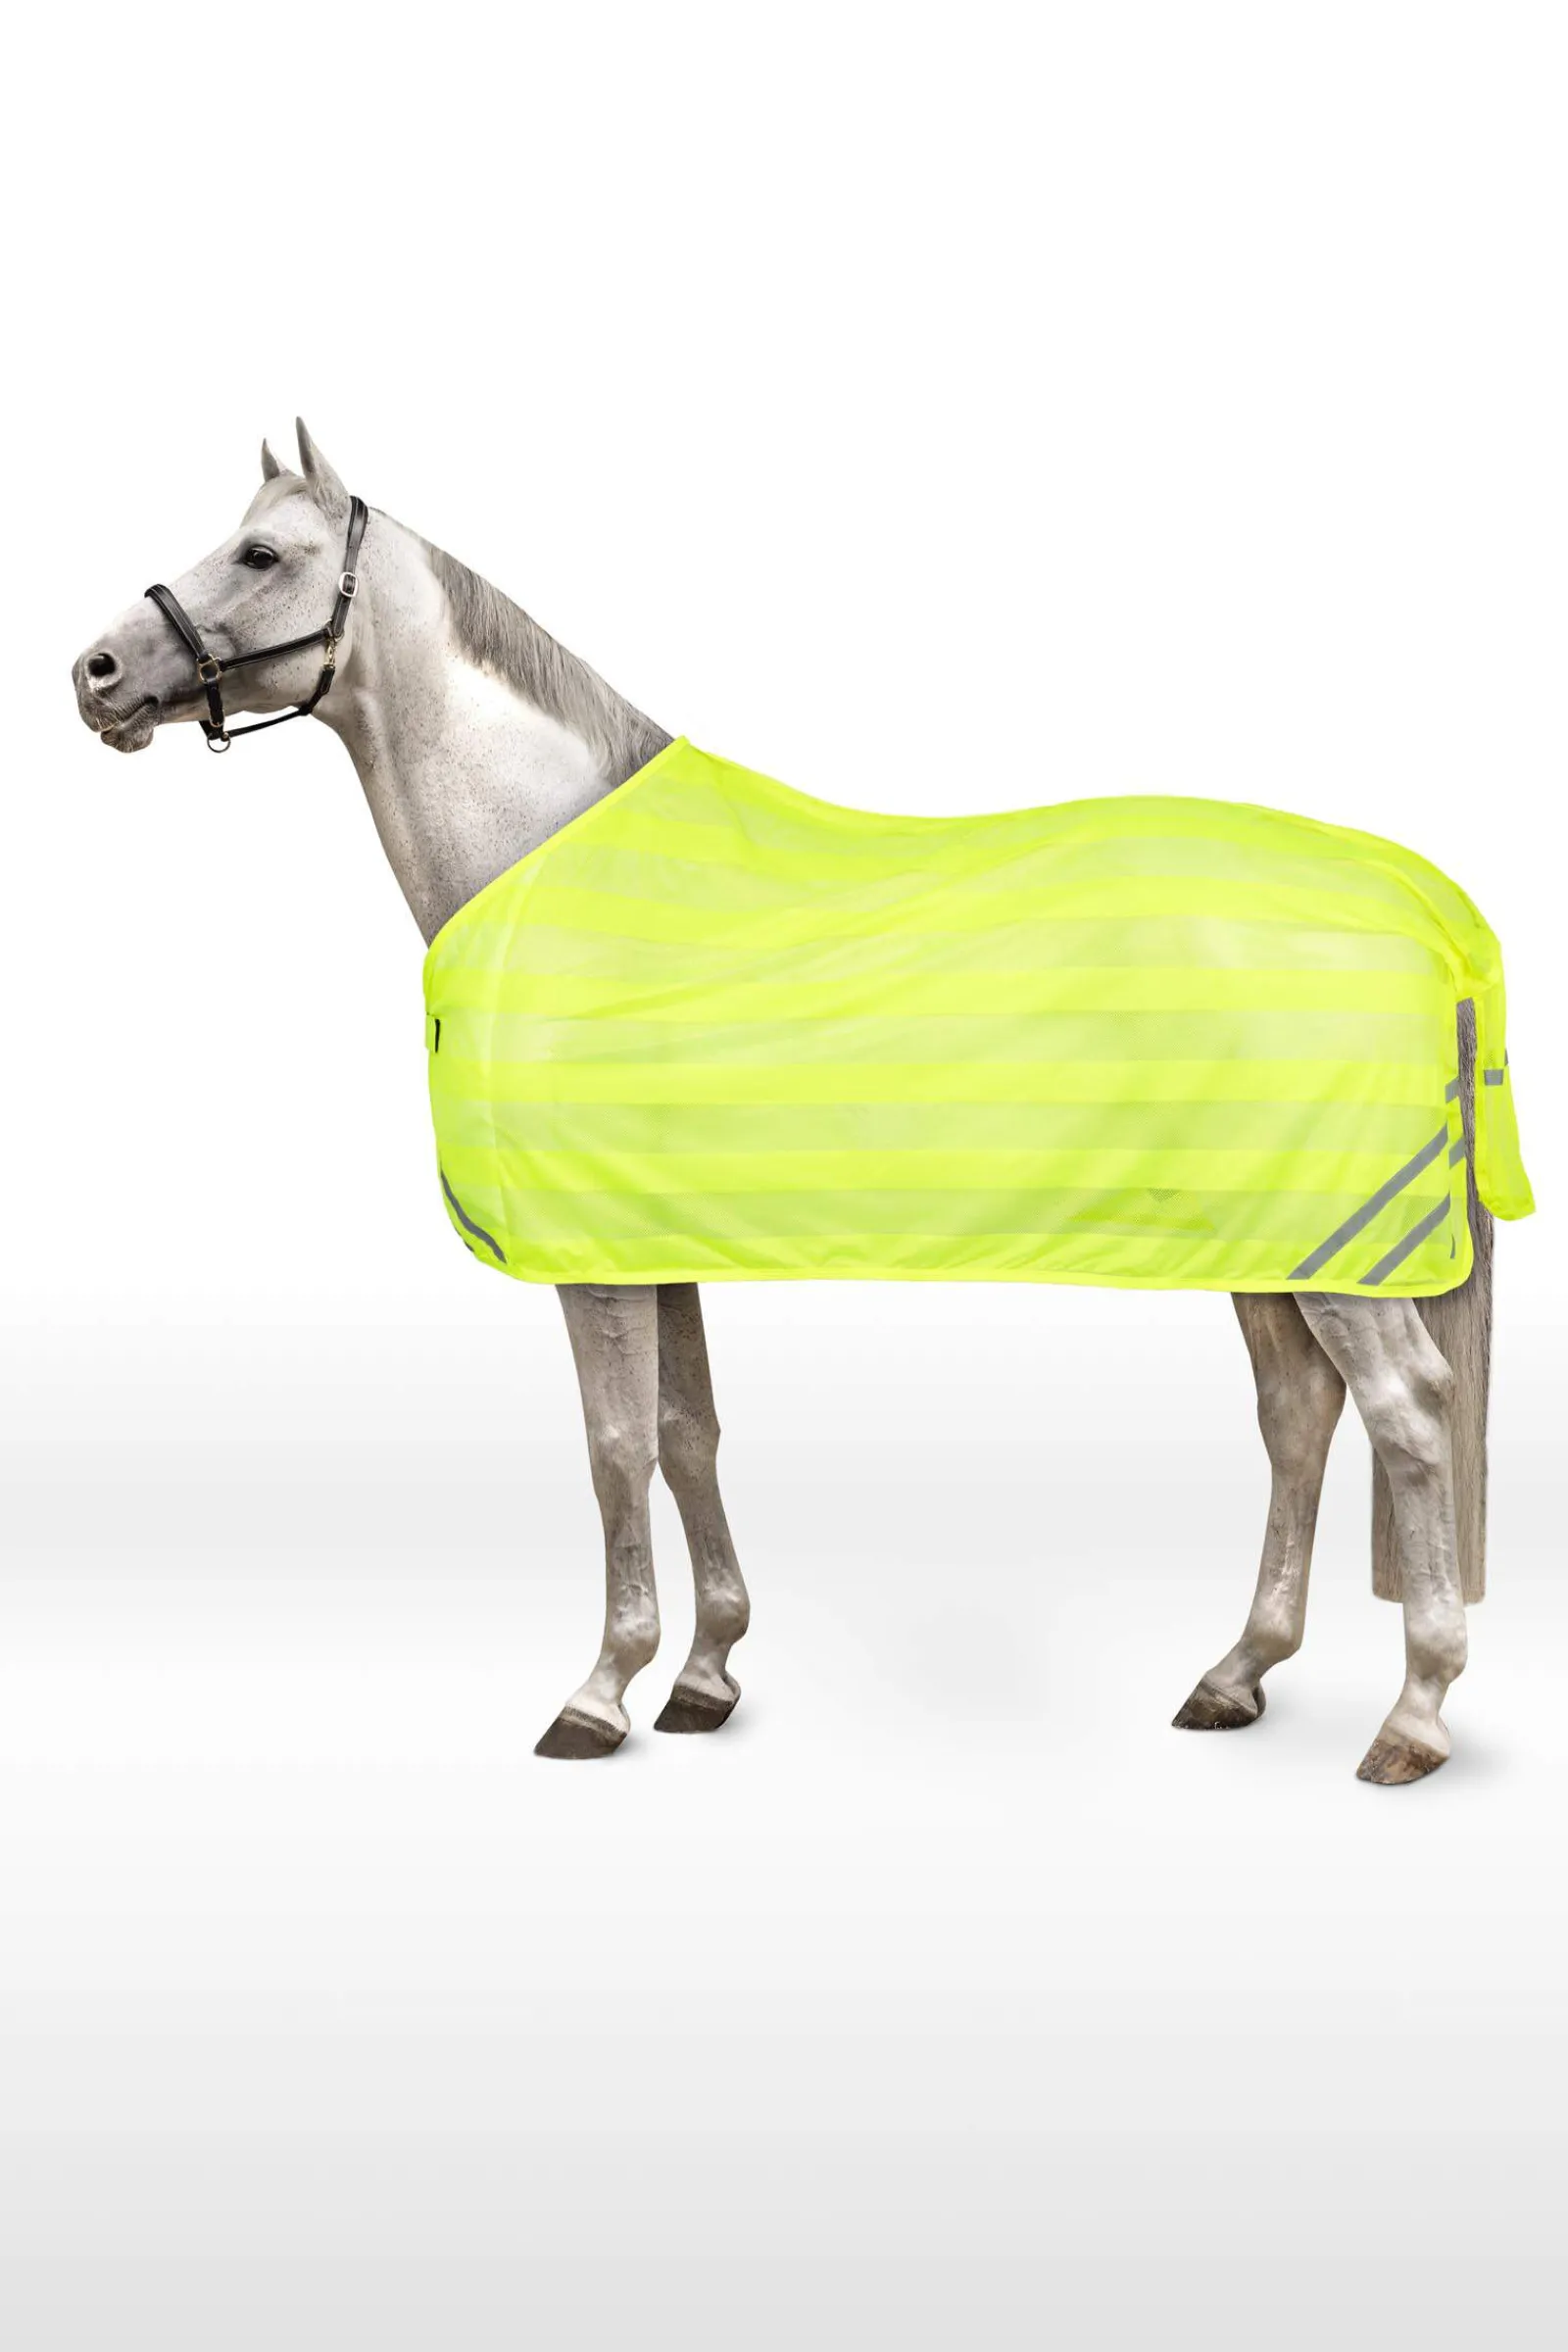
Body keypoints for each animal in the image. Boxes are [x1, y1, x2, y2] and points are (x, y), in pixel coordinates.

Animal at [70, 421, 1498, 1786]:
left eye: (261, 554)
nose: (94, 673)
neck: (550, 864)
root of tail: (1405, 891)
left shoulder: (589, 1259)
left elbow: (614, 1446)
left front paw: (602, 1692)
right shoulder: (648, 1242)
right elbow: (688, 1433)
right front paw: (706, 1674)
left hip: (1339, 1247)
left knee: (1409, 1413)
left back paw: (1415, 1717)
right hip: (1272, 1241)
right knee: (1297, 1417)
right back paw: (1236, 1674)